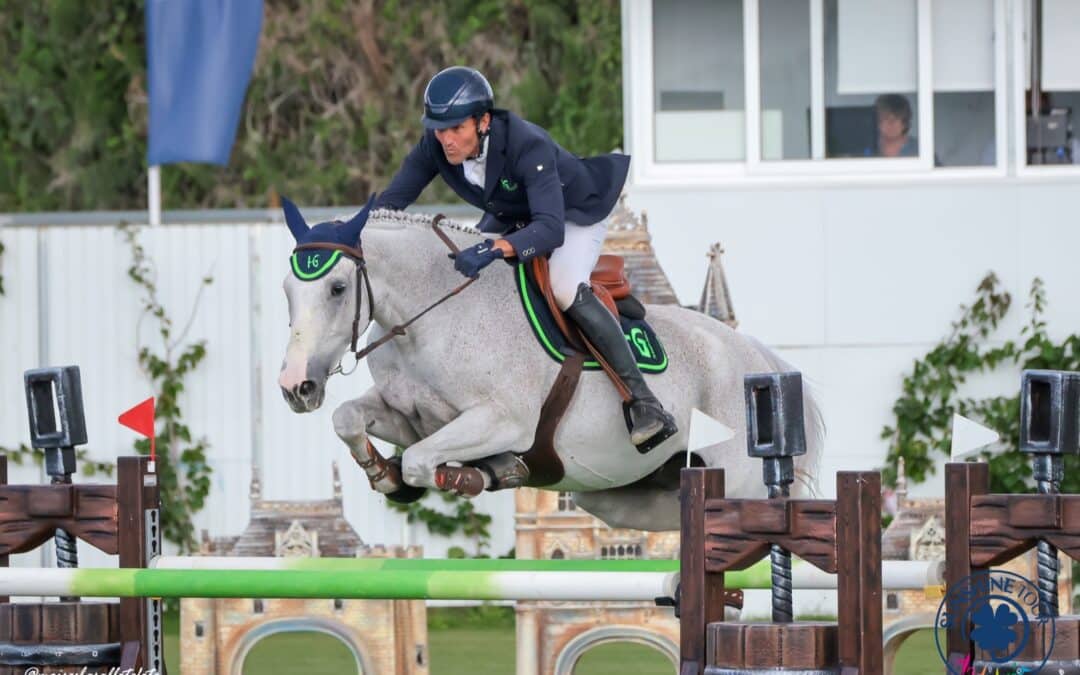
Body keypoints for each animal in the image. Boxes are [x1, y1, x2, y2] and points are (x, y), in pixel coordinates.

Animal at [276, 208, 816, 529]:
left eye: (337, 289)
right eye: (286, 289)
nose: (295, 387)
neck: (431, 317)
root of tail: (753, 355)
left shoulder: (503, 421)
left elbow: (422, 461)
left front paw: (480, 474)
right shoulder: (411, 417)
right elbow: (350, 419)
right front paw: (386, 476)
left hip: (738, 481)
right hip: (622, 498)